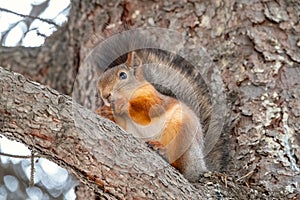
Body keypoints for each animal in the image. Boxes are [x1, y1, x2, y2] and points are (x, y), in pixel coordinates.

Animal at [97, 51, 207, 181]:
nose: (105, 95)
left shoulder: (156, 102)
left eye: (123, 75)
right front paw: (105, 112)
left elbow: (146, 111)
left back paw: (162, 150)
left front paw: (123, 104)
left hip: (183, 132)